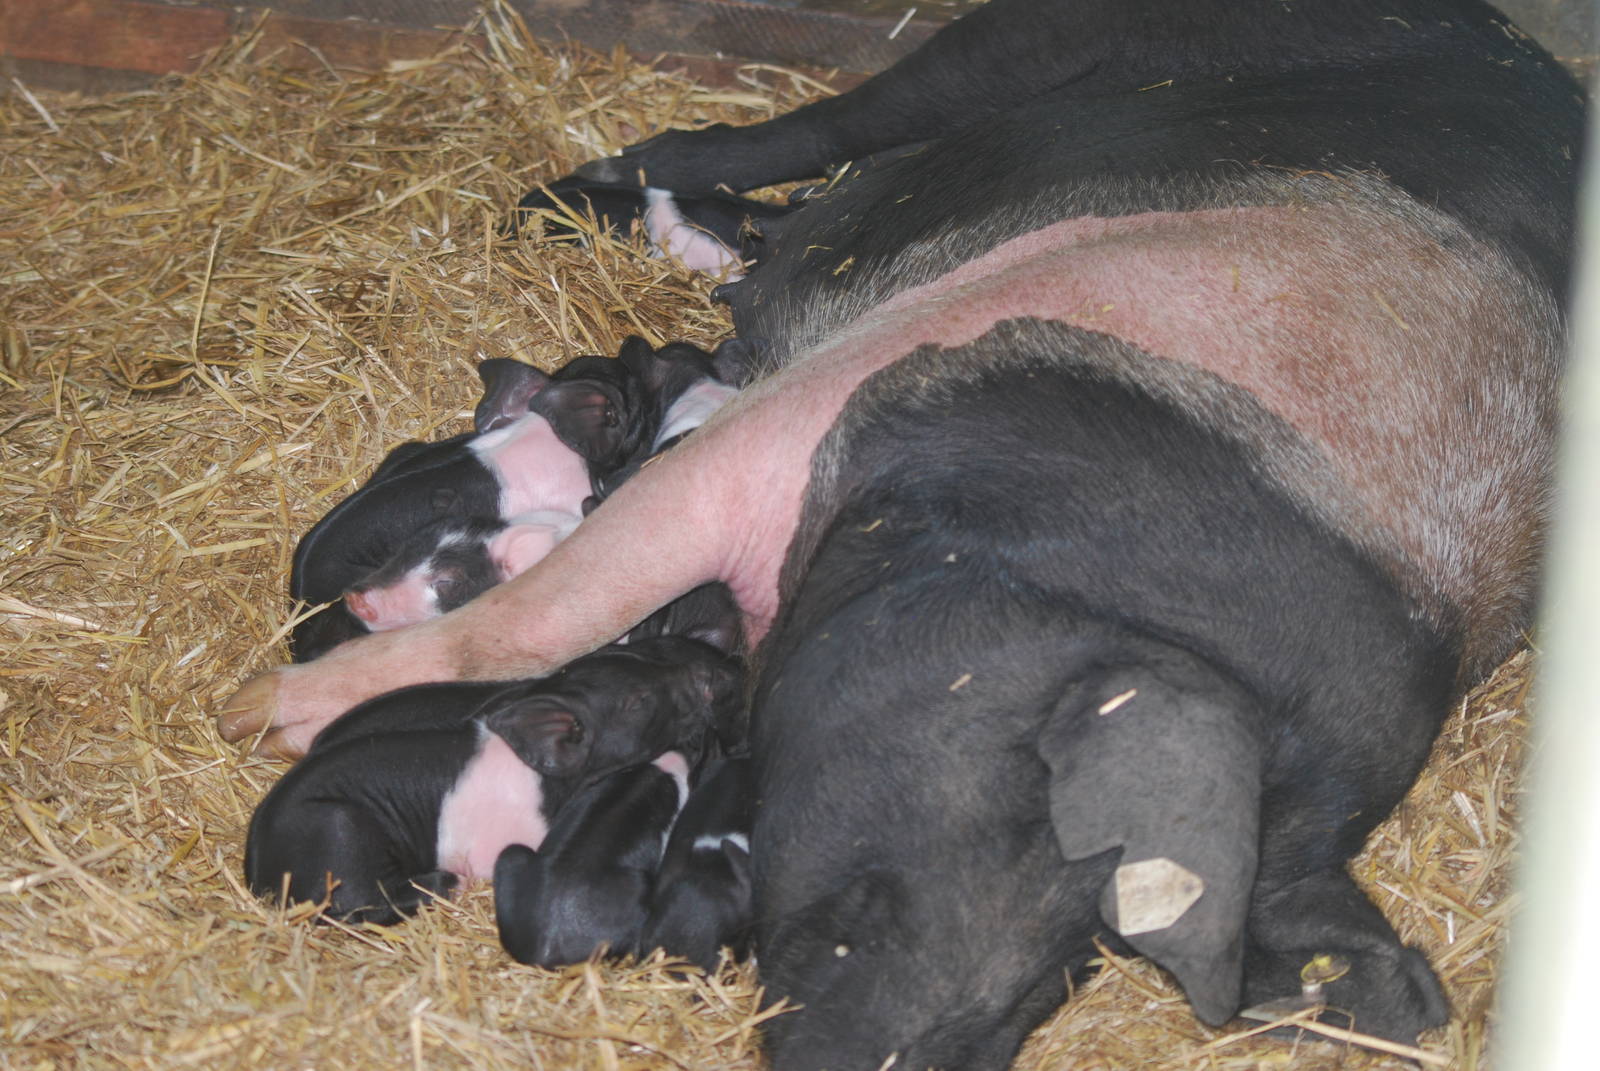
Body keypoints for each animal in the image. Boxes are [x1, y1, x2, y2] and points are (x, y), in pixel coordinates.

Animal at [245, 636, 741, 924]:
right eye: (638, 701)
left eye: (647, 654)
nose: (716, 671)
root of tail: (257, 870)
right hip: (339, 833)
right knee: (356, 904)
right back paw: (446, 882)